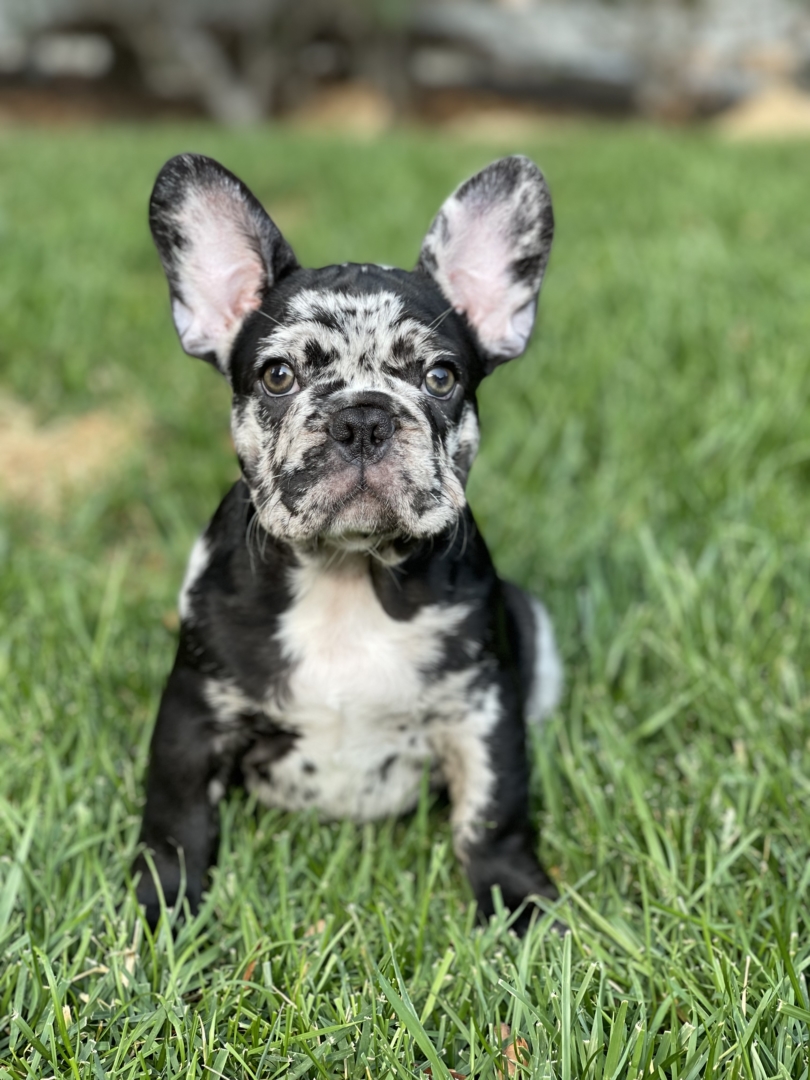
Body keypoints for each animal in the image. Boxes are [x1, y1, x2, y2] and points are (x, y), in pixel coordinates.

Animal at [135, 152, 565, 937]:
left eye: (440, 376)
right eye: (277, 375)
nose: (362, 418)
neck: (347, 573)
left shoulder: (483, 712)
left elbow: (491, 816)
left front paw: (518, 904)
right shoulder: (193, 716)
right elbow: (175, 822)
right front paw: (163, 911)